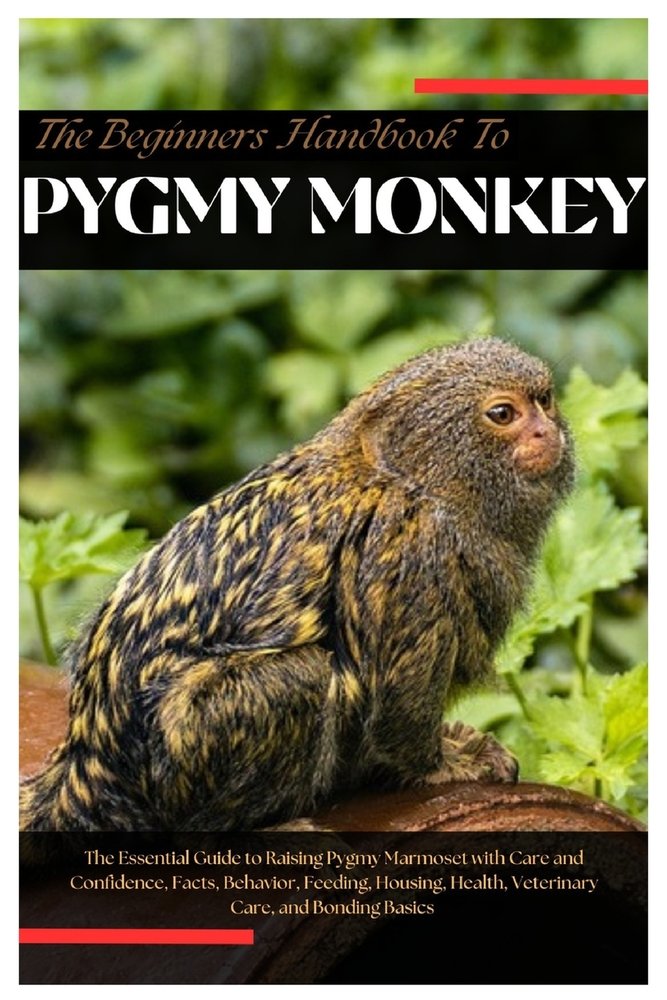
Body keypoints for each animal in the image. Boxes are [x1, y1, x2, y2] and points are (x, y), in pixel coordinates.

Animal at [19, 337, 575, 832]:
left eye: (544, 400)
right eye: (502, 414)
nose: (546, 432)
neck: (418, 485)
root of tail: (86, 768)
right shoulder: (409, 553)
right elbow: (402, 695)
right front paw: (445, 763)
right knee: (302, 676)